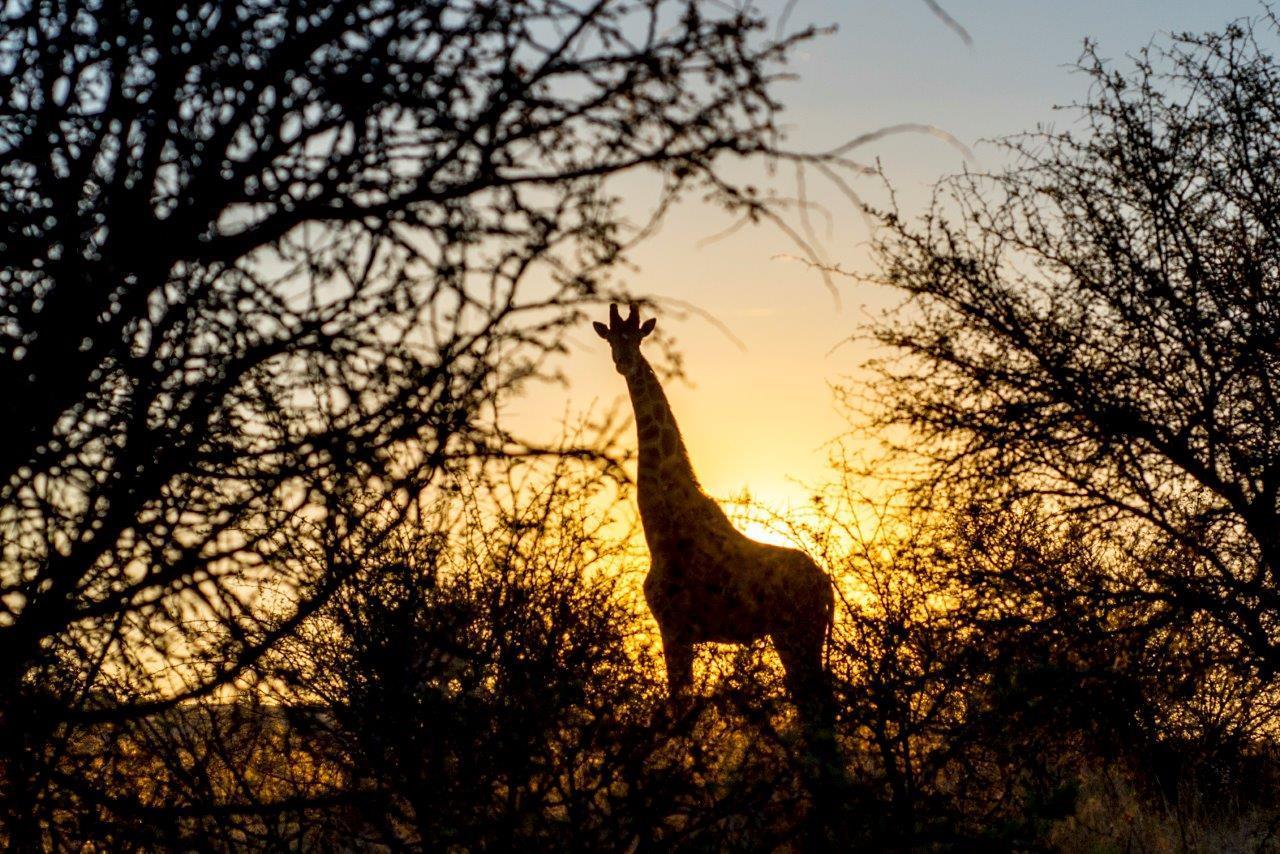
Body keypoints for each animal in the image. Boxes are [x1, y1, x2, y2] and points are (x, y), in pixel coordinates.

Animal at [591, 303, 834, 727]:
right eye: (610, 339)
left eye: (636, 337)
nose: (625, 362)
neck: (661, 530)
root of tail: (827, 586)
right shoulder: (677, 631)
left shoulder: (674, 628)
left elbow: (679, 709)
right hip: (798, 636)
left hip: (798, 633)